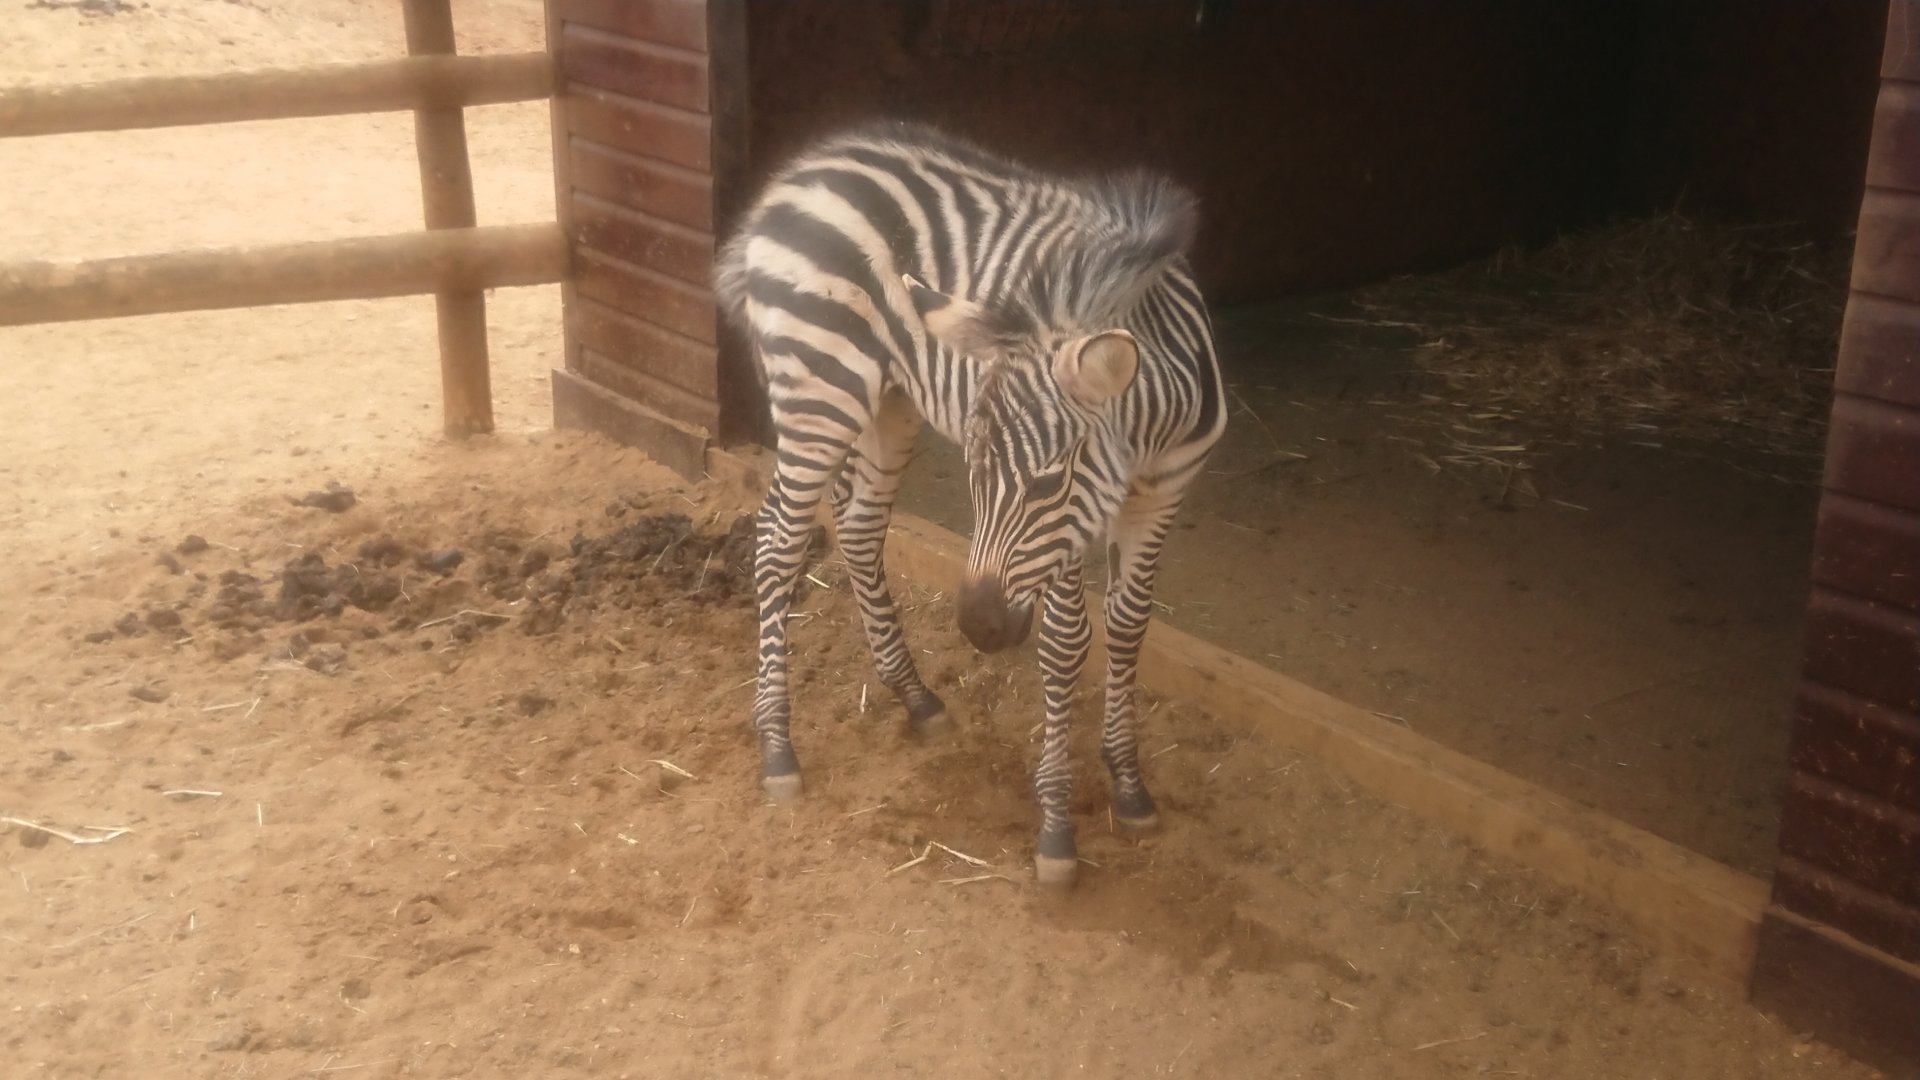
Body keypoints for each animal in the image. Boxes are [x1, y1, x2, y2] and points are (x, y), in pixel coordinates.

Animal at [714, 121, 1227, 886]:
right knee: (778, 539)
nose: (979, 627)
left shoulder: (1159, 497)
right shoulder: (1077, 524)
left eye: (1045, 482)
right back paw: (777, 743)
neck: (1148, 431)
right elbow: (1067, 642)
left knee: (859, 530)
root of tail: (803, 172)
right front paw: (1056, 829)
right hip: (819, 391)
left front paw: (1129, 784)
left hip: (892, 400)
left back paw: (914, 696)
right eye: (975, 476)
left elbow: (1129, 628)